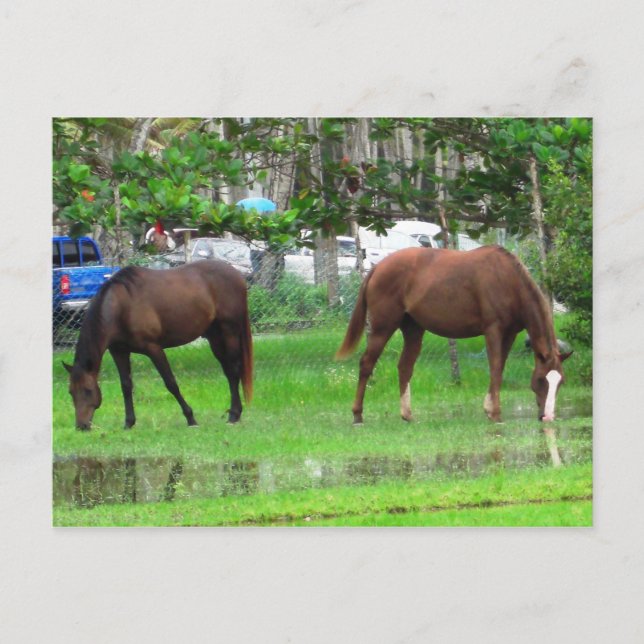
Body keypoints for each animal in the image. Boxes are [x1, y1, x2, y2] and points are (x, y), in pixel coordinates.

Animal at [63, 260, 253, 430]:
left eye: (88, 390)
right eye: (71, 392)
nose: (81, 426)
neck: (121, 306)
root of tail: (237, 274)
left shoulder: (154, 349)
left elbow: (171, 383)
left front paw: (191, 418)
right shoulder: (119, 351)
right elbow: (126, 386)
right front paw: (129, 423)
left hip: (229, 332)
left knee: (233, 369)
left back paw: (234, 415)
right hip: (214, 337)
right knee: (228, 372)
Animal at [336, 245, 572, 424]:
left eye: (560, 382)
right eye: (541, 380)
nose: (547, 417)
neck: (507, 280)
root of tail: (377, 268)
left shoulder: (510, 334)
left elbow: (500, 367)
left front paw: (489, 408)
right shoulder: (493, 330)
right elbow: (495, 368)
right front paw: (495, 413)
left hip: (413, 330)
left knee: (404, 367)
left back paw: (407, 414)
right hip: (383, 328)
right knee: (366, 364)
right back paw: (357, 415)